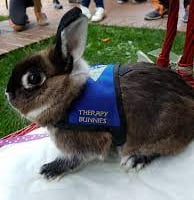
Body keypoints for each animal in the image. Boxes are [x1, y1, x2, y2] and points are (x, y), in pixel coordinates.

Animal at [4, 7, 194, 180]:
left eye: (33, 78)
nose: (7, 93)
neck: (72, 97)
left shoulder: (86, 142)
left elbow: (74, 158)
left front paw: (49, 170)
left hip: (162, 131)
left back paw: (135, 159)